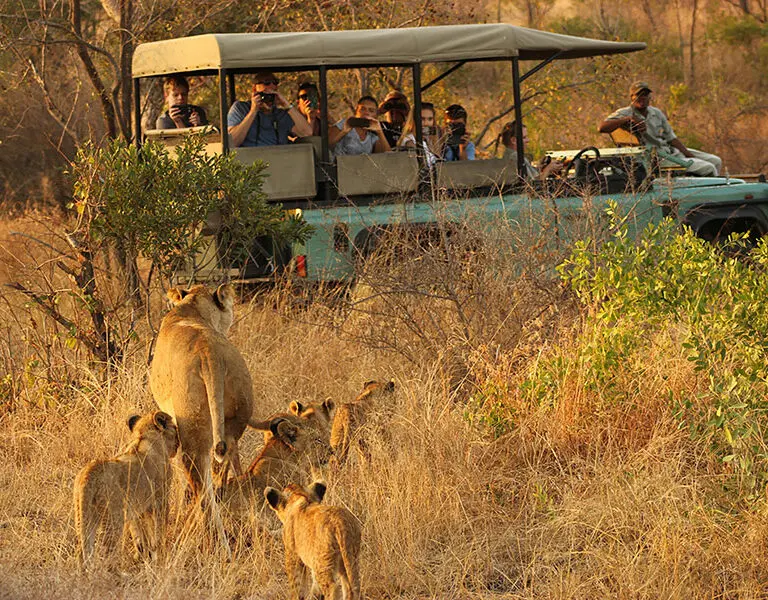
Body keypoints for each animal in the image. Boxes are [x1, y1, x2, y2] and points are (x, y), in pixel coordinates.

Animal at [73, 411, 179, 566]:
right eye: (175, 428)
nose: (179, 442)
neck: (145, 436)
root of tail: (90, 473)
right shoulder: (159, 501)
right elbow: (157, 530)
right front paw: (160, 554)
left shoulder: (136, 508)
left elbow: (139, 534)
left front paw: (141, 556)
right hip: (113, 519)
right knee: (108, 552)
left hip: (84, 515)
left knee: (82, 550)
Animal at [150, 283, 261, 556]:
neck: (192, 307)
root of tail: (208, 351)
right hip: (234, 422)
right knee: (220, 474)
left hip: (192, 424)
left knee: (202, 486)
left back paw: (211, 542)